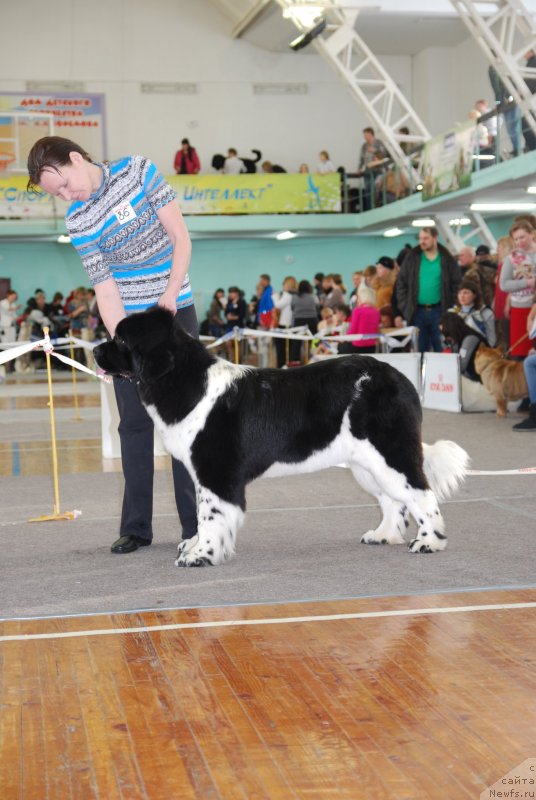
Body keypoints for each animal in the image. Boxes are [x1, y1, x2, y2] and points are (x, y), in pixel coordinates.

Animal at [95, 308, 468, 568]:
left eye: (121, 340)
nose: (97, 350)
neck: (185, 380)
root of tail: (400, 378)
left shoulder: (215, 471)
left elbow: (211, 514)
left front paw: (201, 554)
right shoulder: (204, 474)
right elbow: (202, 512)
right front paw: (196, 545)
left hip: (389, 451)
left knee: (421, 494)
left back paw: (429, 542)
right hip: (368, 464)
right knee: (394, 500)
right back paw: (383, 535)